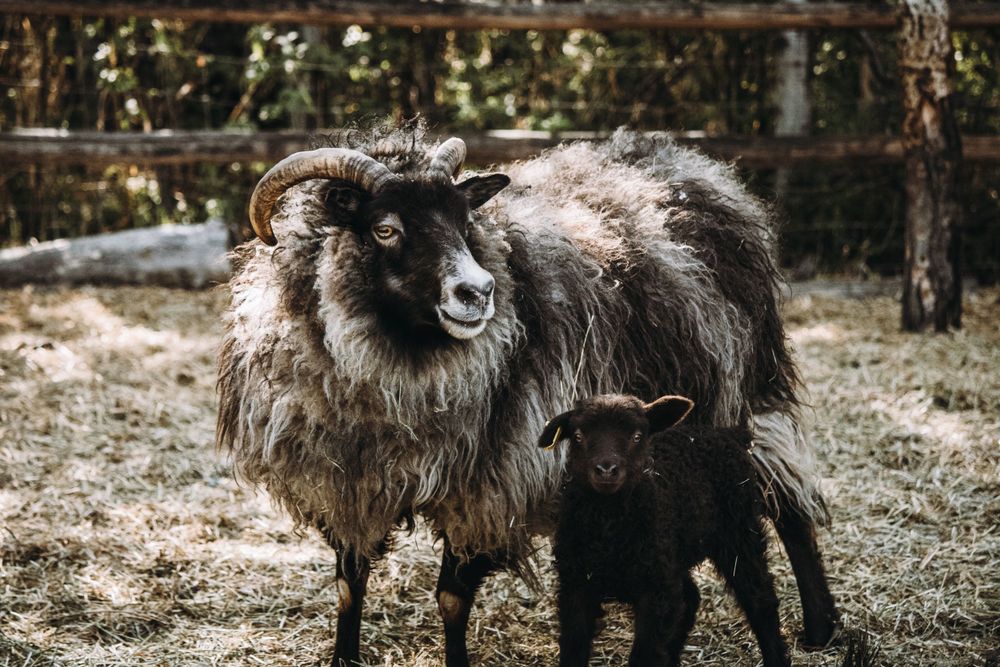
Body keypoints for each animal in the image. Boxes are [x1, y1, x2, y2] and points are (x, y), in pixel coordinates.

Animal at [538, 393, 791, 667]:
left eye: (637, 436)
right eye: (578, 436)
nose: (606, 470)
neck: (609, 530)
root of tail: (729, 434)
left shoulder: (655, 592)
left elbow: (644, 654)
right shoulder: (576, 585)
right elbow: (574, 646)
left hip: (738, 531)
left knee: (760, 598)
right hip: (673, 555)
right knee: (689, 599)